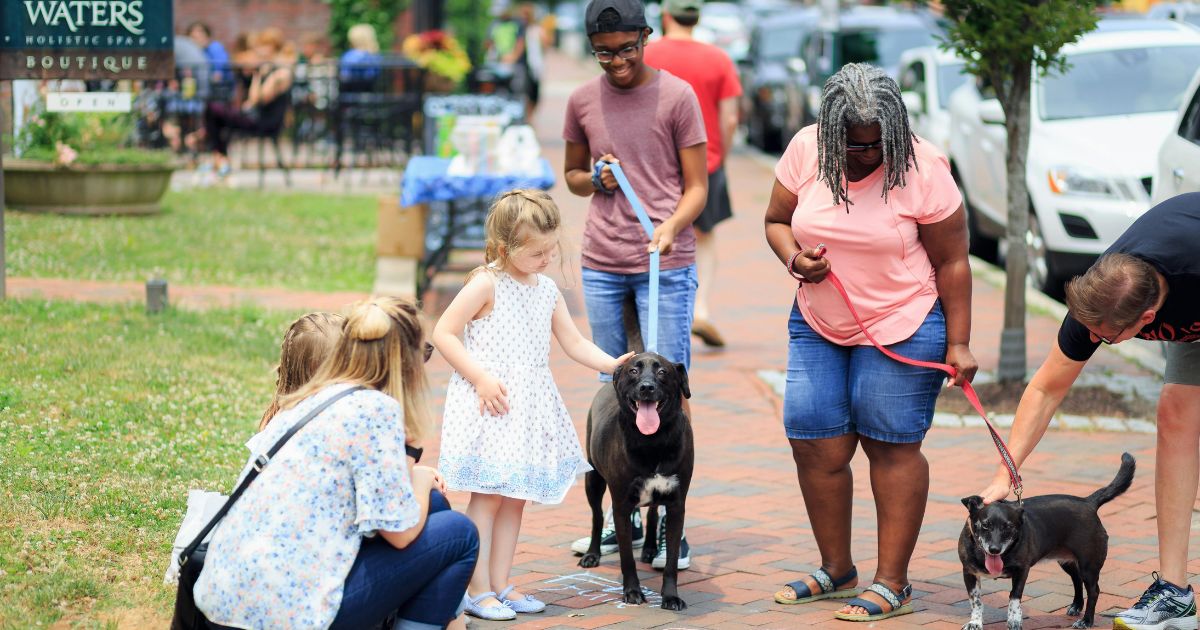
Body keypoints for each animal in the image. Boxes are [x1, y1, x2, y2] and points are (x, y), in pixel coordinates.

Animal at [578, 348, 696, 609]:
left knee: (652, 513)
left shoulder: (677, 504)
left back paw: (651, 548)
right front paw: (632, 592)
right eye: (633, 370)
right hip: (593, 479)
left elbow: (671, 560)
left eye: (662, 372)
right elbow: (626, 558)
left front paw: (671, 596)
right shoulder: (621, 504)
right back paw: (592, 553)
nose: (646, 387)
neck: (653, 440)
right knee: (597, 516)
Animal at [955, 451, 1132, 628]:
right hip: (1067, 562)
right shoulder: (969, 573)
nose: (994, 549)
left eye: (1009, 527)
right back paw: (1076, 606)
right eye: (985, 525)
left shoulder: (1022, 571)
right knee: (1076, 579)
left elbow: (1014, 597)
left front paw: (1014, 620)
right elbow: (976, 601)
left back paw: (1086, 621)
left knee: (1094, 591)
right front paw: (975, 622)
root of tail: (1089, 502)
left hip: (1089, 566)